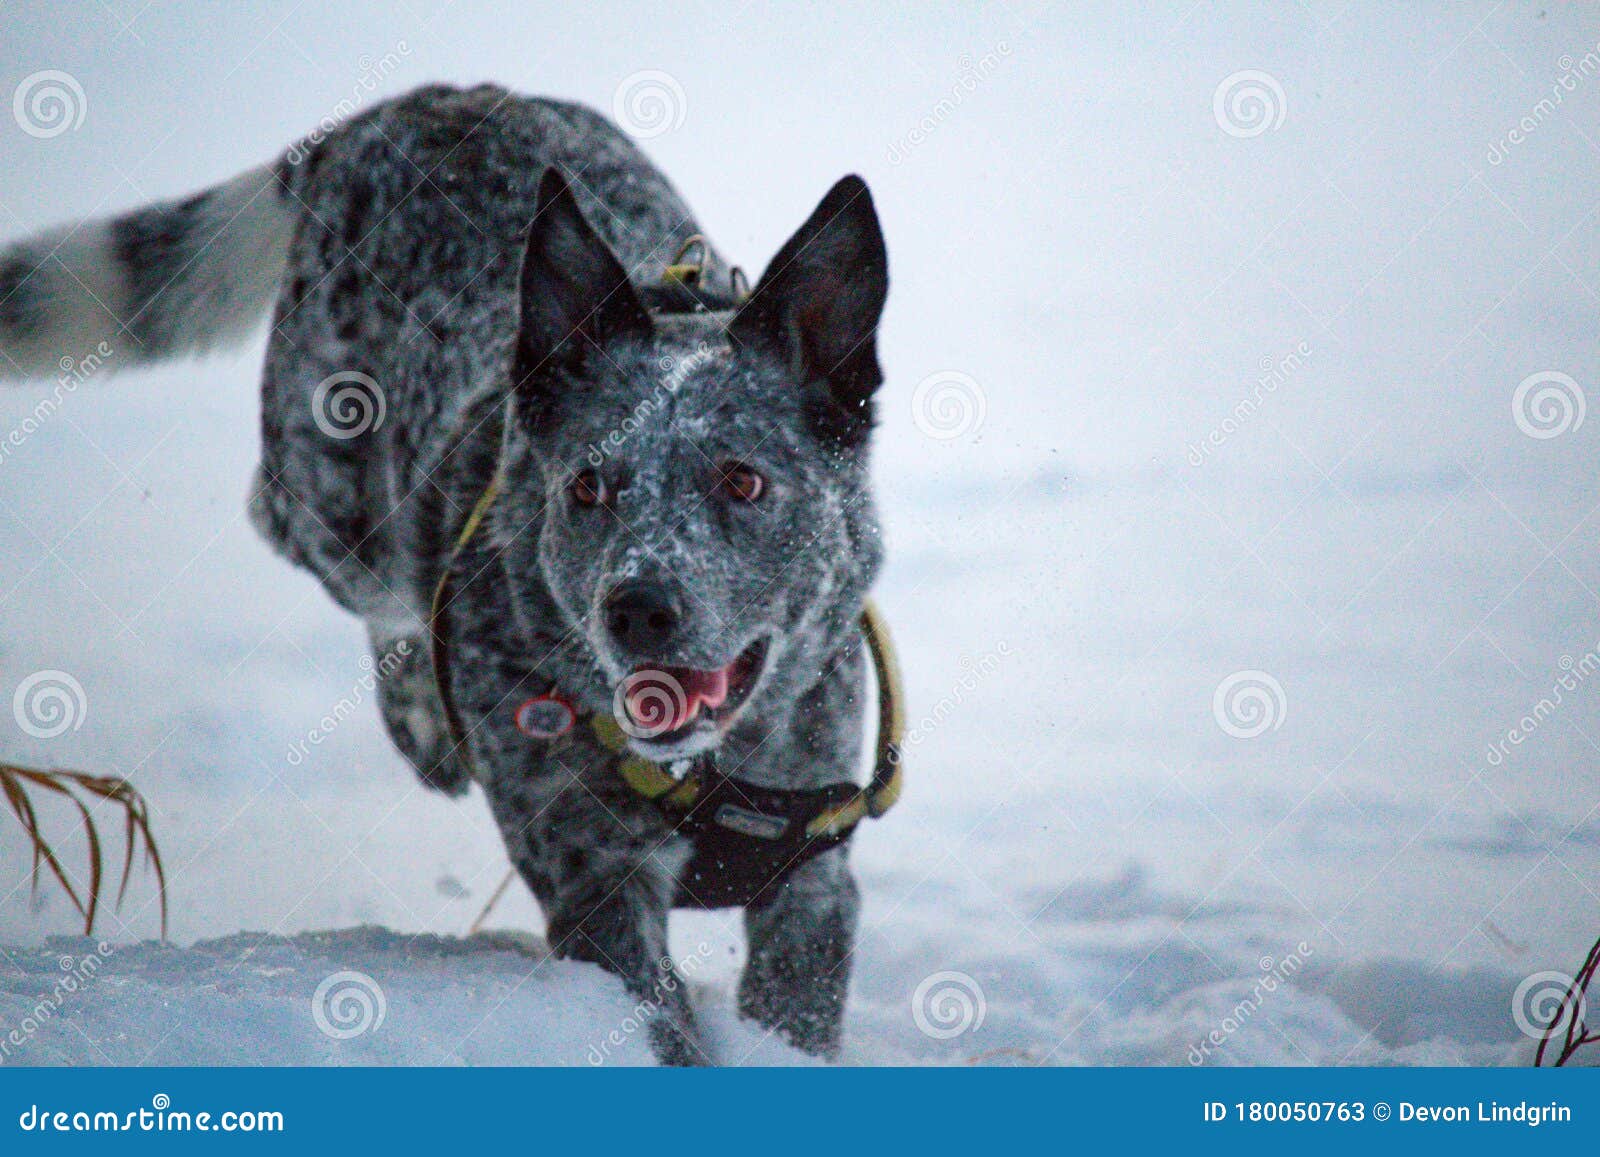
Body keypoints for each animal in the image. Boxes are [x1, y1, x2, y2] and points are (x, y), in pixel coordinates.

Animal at [0, 83, 896, 1068]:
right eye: (588, 484)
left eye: (744, 480)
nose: (636, 608)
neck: (701, 772)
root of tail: (395, 110)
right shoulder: (596, 887)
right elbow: (659, 1021)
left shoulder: (811, 881)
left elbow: (798, 999)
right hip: (331, 503)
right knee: (312, 540)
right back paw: (422, 711)